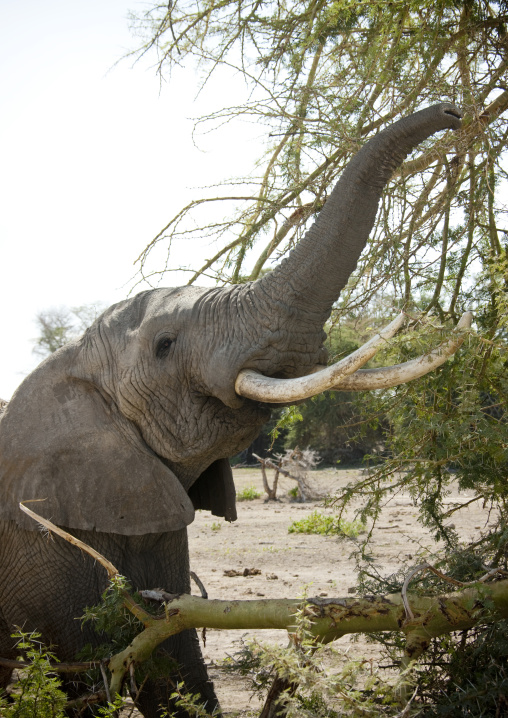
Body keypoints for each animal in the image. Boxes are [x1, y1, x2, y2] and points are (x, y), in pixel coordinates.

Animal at [0, 103, 464, 716]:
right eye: (165, 345)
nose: (453, 113)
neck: (69, 365)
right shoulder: (42, 543)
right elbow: (98, 672)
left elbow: (169, 660)